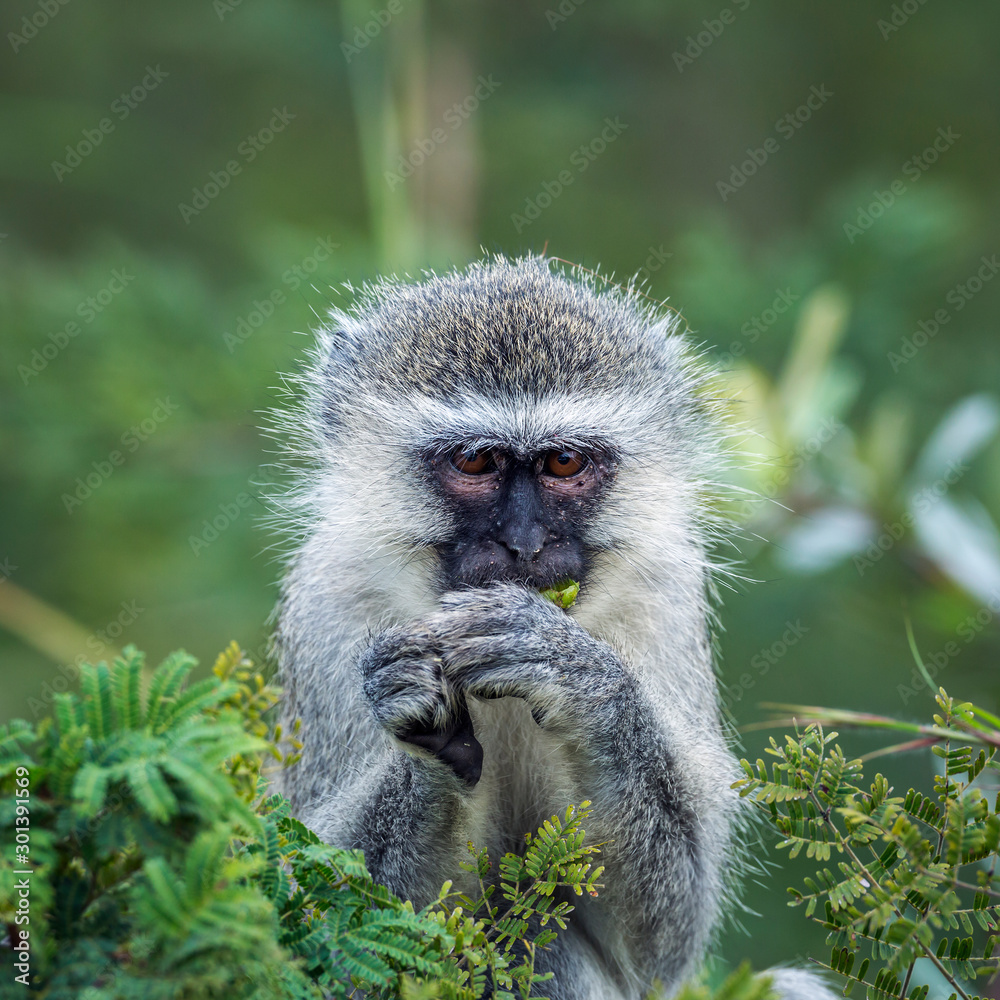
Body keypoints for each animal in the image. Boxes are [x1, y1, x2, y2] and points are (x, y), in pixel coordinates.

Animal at [272, 255, 838, 999]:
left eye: (565, 463)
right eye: (475, 461)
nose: (524, 544)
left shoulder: (665, 601)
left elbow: (663, 939)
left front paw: (574, 674)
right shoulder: (326, 609)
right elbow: (331, 920)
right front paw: (424, 717)